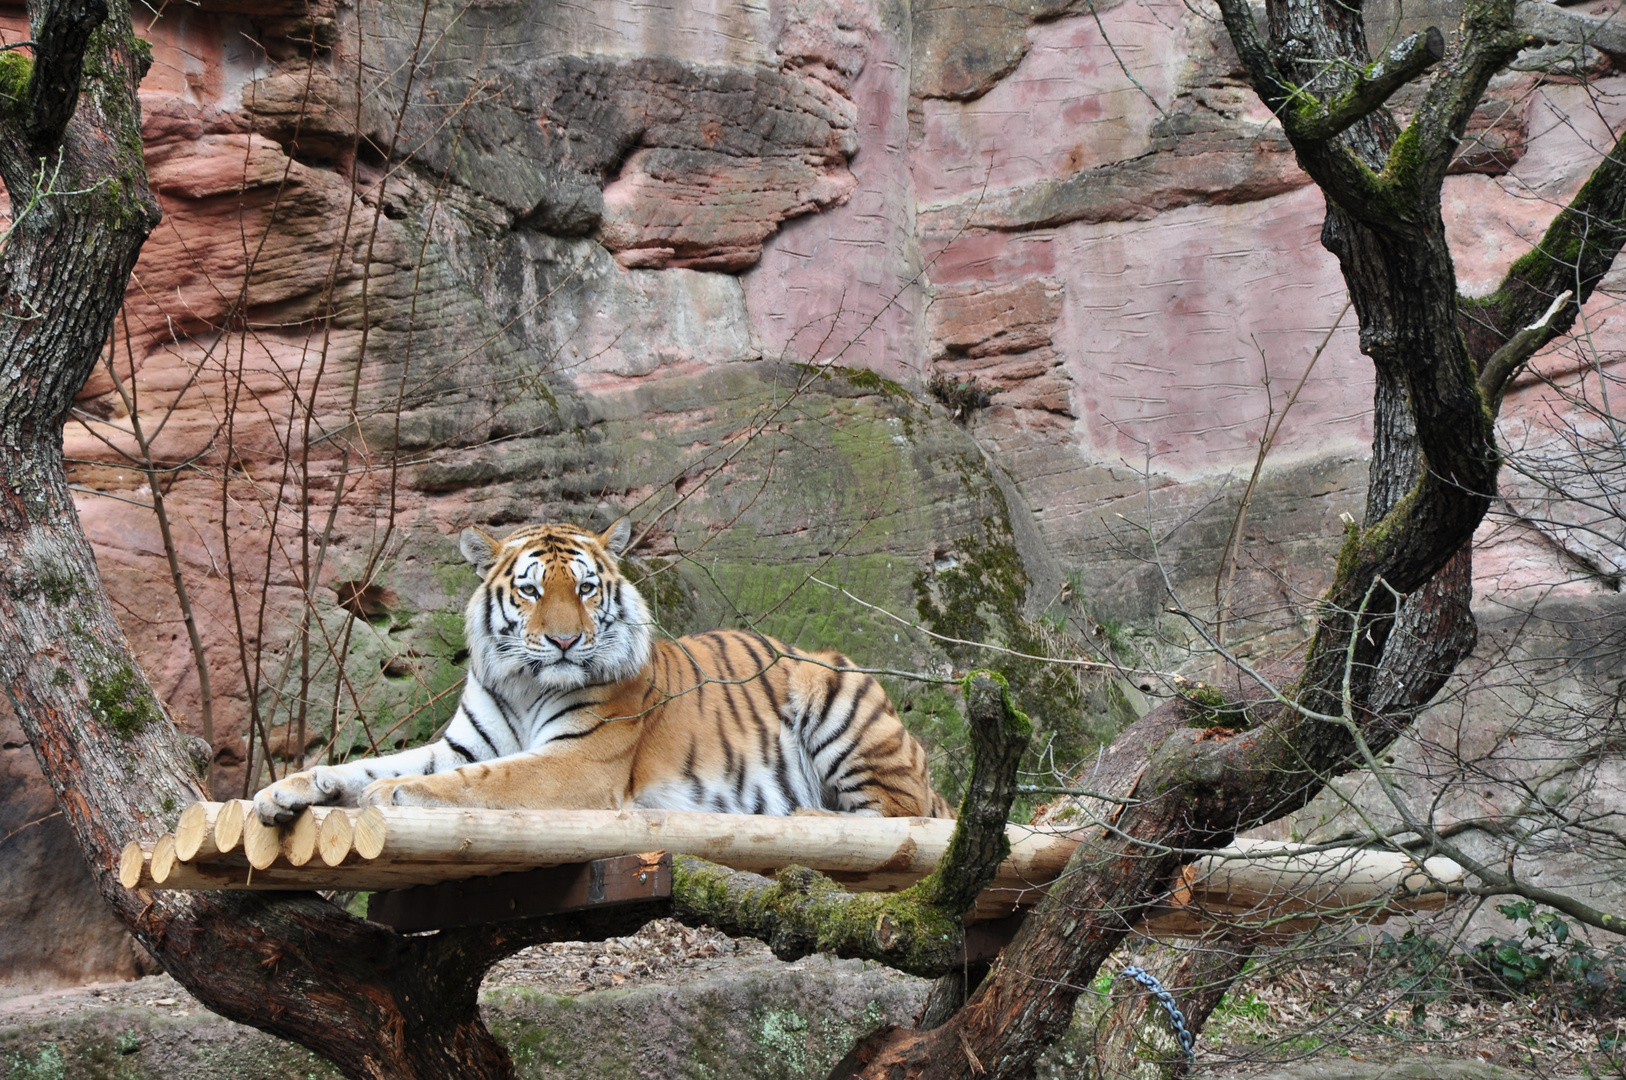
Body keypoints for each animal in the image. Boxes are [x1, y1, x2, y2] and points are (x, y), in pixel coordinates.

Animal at [252, 520, 949, 823]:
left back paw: (806, 817)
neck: (522, 683)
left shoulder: (576, 762)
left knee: (897, 813)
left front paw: (396, 795)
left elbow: (483, 781)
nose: (564, 641)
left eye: (586, 589)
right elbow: (370, 764)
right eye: (531, 590)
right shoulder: (458, 747)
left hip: (838, 698)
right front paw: (285, 789)